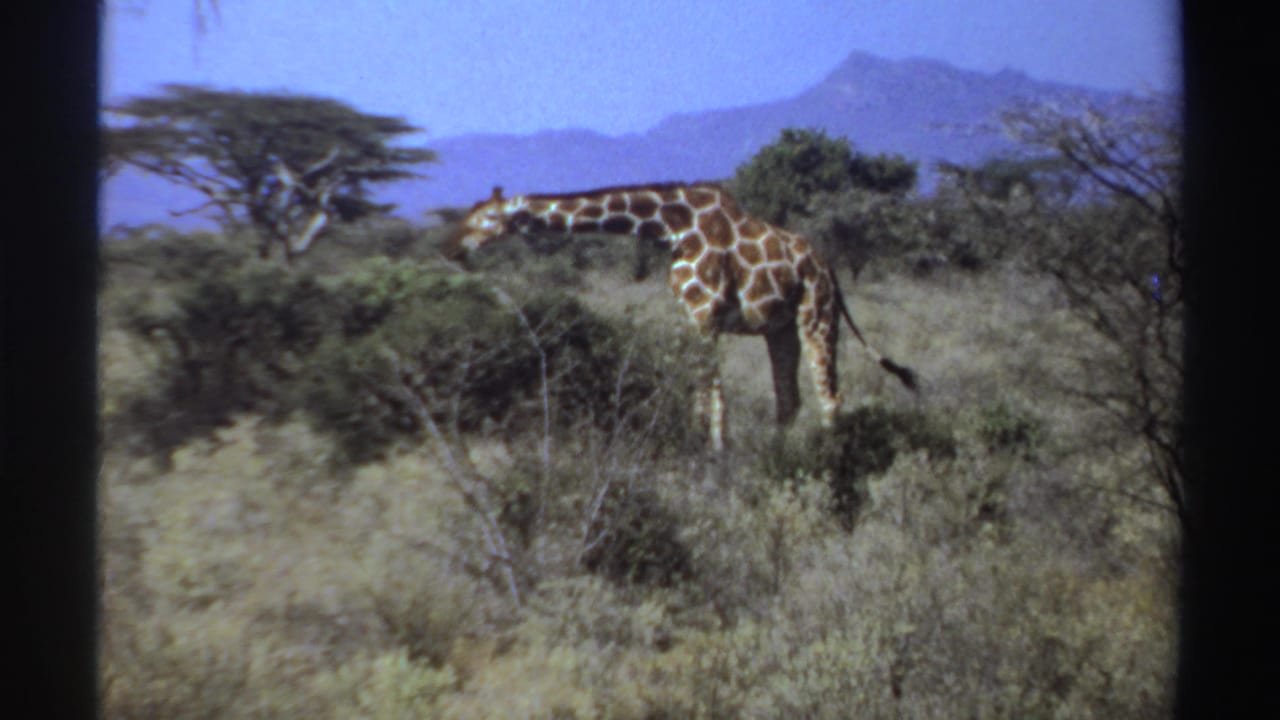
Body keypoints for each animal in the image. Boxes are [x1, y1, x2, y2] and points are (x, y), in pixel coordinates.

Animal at [444, 182, 917, 451]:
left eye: (486, 219)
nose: (450, 247)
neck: (670, 227)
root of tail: (829, 267)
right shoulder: (690, 317)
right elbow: (701, 399)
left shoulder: (706, 315)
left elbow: (715, 401)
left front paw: (716, 463)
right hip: (780, 328)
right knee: (790, 400)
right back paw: (779, 458)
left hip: (817, 315)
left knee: (830, 397)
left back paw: (832, 465)